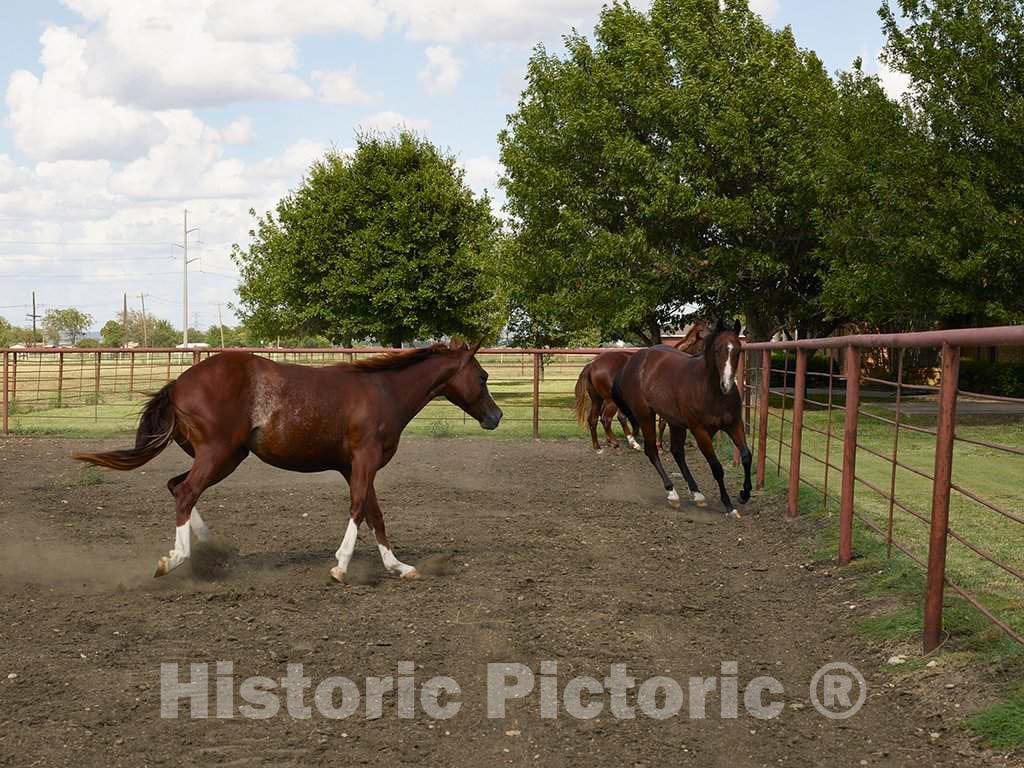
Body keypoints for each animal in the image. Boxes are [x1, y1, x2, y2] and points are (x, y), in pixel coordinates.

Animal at [72, 344, 503, 581]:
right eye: (482, 376)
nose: (495, 417)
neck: (383, 393)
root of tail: (178, 384)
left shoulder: (355, 467)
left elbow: (375, 514)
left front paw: (399, 567)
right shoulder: (364, 461)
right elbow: (359, 509)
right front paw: (341, 566)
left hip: (226, 457)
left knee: (177, 487)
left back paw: (216, 550)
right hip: (218, 454)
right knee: (186, 492)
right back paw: (176, 559)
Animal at [614, 319, 753, 518]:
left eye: (738, 350)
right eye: (717, 350)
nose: (726, 385)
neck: (711, 392)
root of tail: (631, 363)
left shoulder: (734, 424)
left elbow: (747, 456)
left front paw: (744, 494)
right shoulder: (700, 431)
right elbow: (717, 467)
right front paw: (729, 506)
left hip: (675, 422)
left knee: (677, 452)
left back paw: (697, 493)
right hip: (645, 415)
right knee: (652, 451)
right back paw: (672, 493)